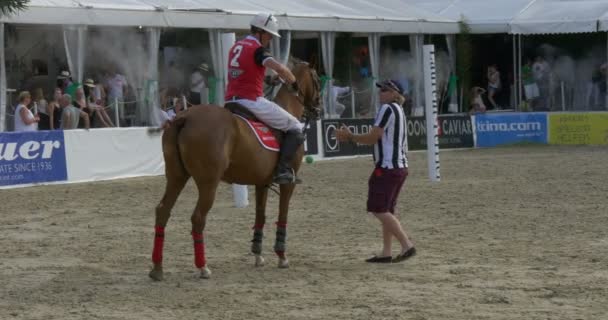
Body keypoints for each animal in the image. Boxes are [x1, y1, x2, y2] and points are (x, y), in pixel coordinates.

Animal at [150, 60, 320, 280]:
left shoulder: (262, 183)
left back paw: (157, 268)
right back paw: (203, 267)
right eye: (317, 80)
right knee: (198, 218)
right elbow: (282, 215)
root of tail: (184, 117)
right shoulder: (288, 183)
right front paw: (281, 256)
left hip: (176, 177)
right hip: (208, 182)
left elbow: (260, 216)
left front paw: (258, 255)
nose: (318, 108)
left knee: (163, 211)